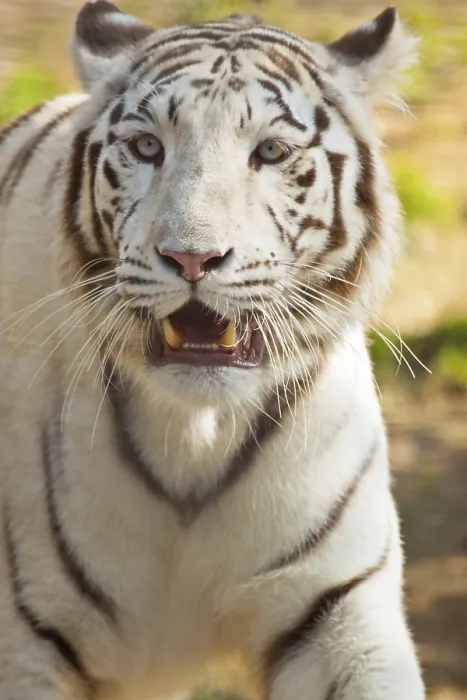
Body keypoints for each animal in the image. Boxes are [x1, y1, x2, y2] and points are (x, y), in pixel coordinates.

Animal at [0, 1, 425, 699]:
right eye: (148, 147)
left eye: (271, 152)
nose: (192, 257)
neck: (196, 433)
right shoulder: (27, 638)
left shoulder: (335, 610)